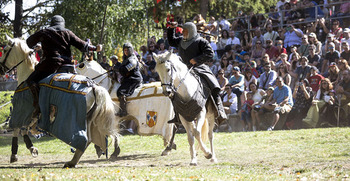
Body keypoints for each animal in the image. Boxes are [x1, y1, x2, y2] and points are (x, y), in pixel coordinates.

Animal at [0, 36, 120, 168]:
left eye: (5, 50)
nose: (1, 68)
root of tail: (93, 87)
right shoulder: (32, 116)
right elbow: (25, 129)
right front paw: (31, 148)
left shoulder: (24, 111)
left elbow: (18, 129)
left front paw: (17, 154)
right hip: (88, 119)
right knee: (87, 139)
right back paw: (73, 161)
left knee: (84, 139)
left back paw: (72, 161)